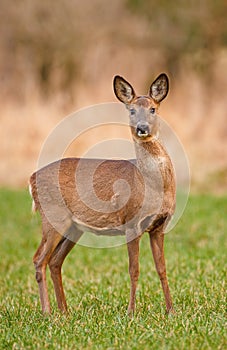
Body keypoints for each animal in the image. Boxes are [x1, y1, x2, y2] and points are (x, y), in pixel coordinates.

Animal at [29, 74, 176, 314]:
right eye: (131, 110)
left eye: (153, 109)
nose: (142, 128)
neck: (153, 185)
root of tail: (31, 178)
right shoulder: (131, 221)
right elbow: (134, 269)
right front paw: (131, 312)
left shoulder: (159, 225)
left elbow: (162, 268)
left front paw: (171, 310)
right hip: (53, 217)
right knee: (39, 259)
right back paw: (48, 312)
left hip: (73, 227)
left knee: (55, 261)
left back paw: (65, 312)